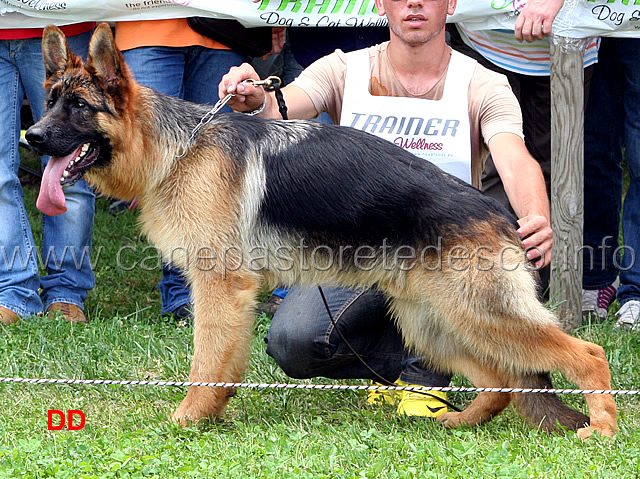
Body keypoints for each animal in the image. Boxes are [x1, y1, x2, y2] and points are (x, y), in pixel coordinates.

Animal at [27, 24, 616, 440]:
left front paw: (189, 418)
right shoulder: (226, 293)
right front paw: (212, 414)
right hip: (437, 323)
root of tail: (501, 215)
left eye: (79, 107)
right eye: (51, 101)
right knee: (500, 381)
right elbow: (221, 364)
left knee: (586, 354)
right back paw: (459, 422)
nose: (30, 137)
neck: (177, 148)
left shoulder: (220, 287)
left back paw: (603, 428)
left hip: (479, 315)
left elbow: (206, 361)